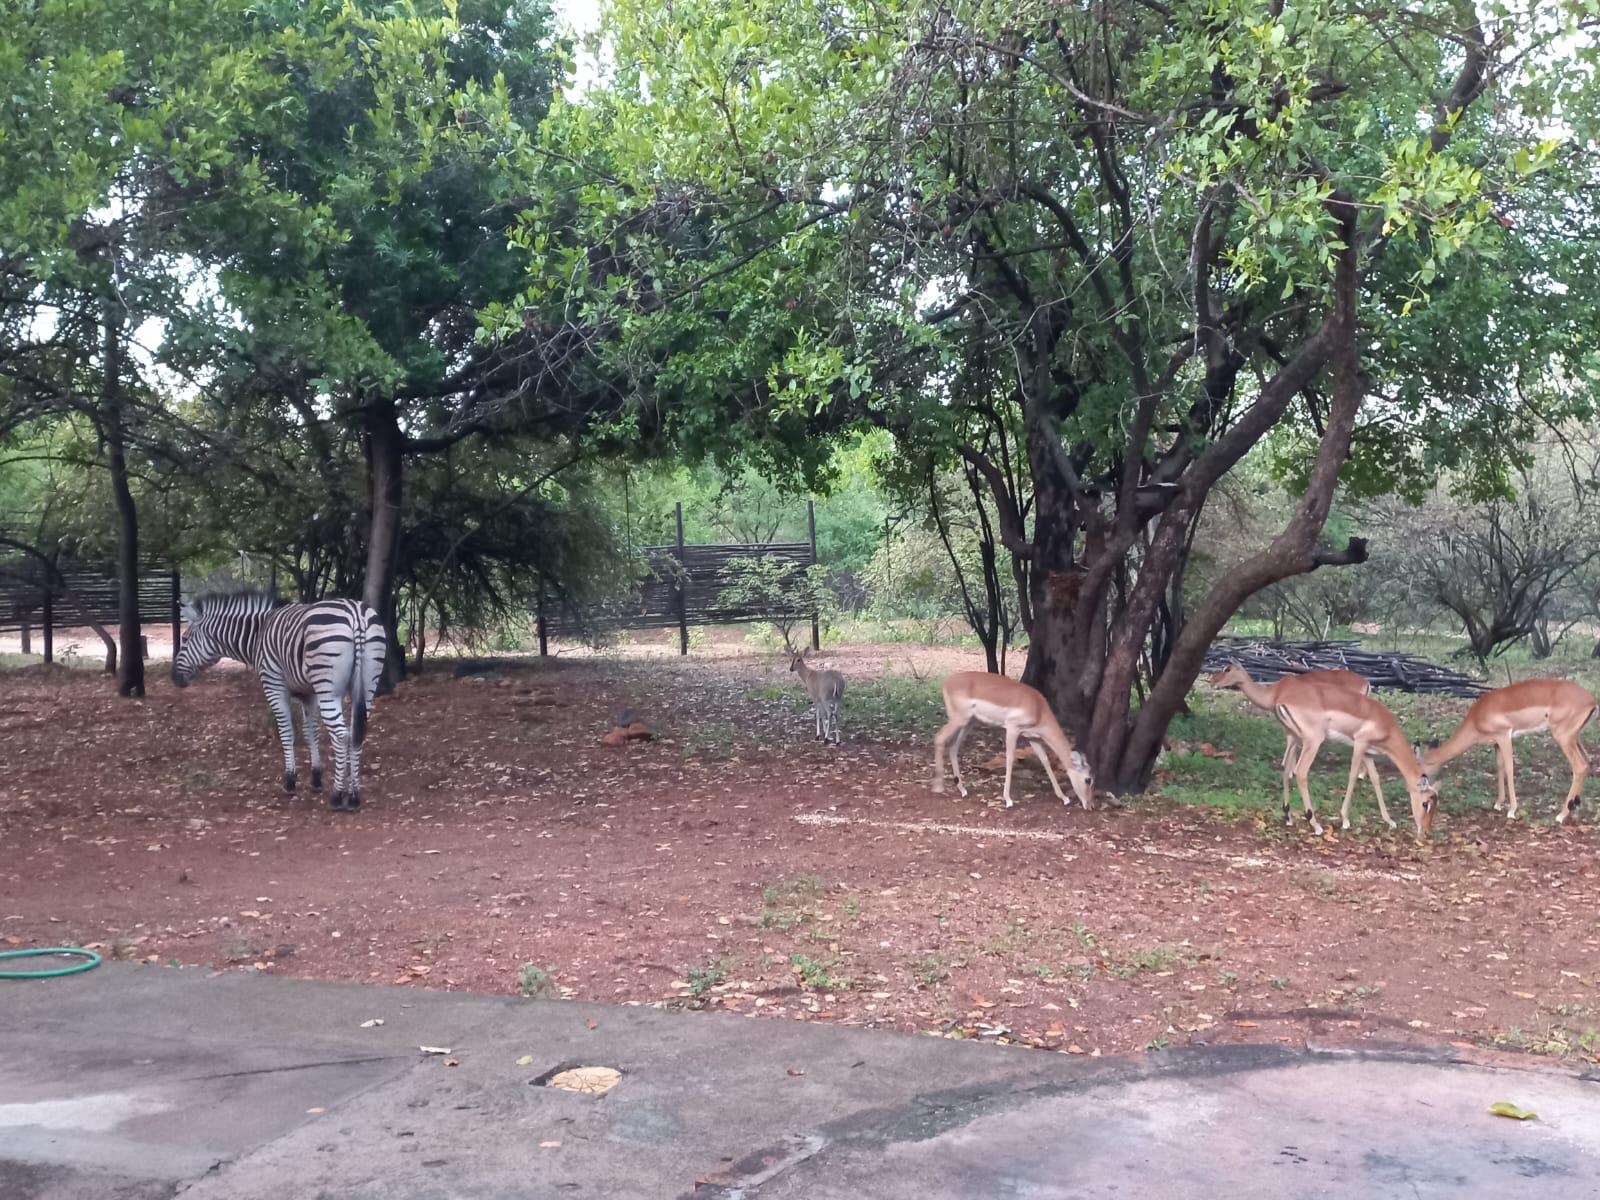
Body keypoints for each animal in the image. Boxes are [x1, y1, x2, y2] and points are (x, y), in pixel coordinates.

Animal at [171, 591, 386, 811]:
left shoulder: (274, 686)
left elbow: (286, 732)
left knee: (342, 735)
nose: (174, 677)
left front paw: (290, 780)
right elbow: (311, 733)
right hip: (367, 684)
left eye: (185, 639)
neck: (257, 635)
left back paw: (337, 795)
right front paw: (316, 778)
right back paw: (354, 796)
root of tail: (355, 614)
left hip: (329, 689)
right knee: (356, 733)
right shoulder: (309, 694)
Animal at [932, 672, 1094, 810]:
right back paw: (938, 787)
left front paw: (1064, 798)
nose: (1090, 805)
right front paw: (1008, 800)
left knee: (953, 746)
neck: (1038, 708)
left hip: (969, 722)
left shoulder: (1033, 737)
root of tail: (948, 681)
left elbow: (1045, 761)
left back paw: (962, 789)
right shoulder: (1012, 729)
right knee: (939, 737)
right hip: (959, 719)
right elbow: (1009, 758)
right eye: (1088, 779)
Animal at [1205, 662, 1394, 828]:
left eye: (1227, 668)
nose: (1211, 678)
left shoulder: (1291, 732)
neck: (1274, 692)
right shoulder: (1292, 732)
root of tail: (1365, 681)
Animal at [1272, 676, 1437, 838]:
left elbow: (1375, 779)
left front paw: (1389, 821)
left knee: (1286, 769)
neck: (1386, 726)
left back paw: (1288, 816)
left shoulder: (1368, 753)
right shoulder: (1359, 743)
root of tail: (1282, 700)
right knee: (1300, 772)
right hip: (1312, 742)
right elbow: (1353, 775)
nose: (1426, 831)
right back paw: (1316, 825)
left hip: (1293, 737)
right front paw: (1345, 819)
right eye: (1425, 803)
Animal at [1419, 679, 1597, 823]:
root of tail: (1592, 700)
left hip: (1563, 737)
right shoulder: (1496, 743)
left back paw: (1561, 815)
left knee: (1579, 766)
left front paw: (1512, 810)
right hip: (1575, 737)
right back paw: (1574, 808)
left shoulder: (1504, 736)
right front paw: (1498, 803)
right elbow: (1500, 767)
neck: (1478, 716)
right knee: (1588, 762)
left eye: (1423, 768)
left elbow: (1510, 768)